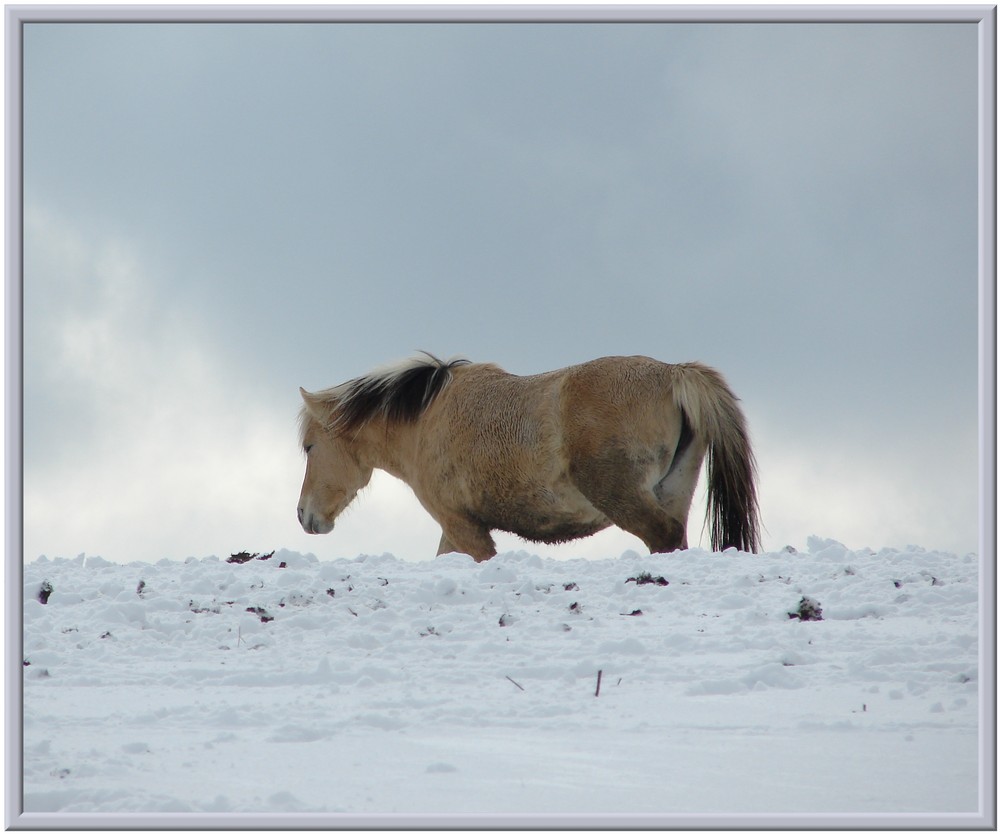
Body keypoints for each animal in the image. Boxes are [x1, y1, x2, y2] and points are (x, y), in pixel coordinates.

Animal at [294, 352, 756, 560]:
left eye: (310, 446)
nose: (304, 515)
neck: (427, 416)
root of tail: (674, 372)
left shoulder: (462, 524)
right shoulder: (456, 528)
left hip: (625, 498)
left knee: (661, 536)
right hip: (673, 492)